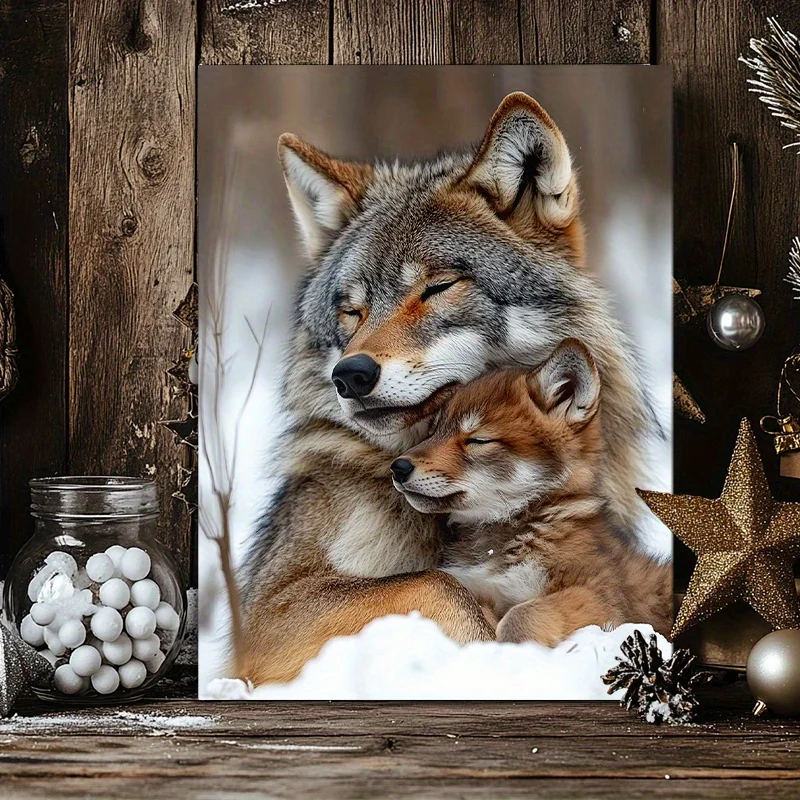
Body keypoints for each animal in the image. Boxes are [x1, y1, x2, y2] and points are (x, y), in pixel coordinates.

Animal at [390, 338, 672, 647]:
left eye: (478, 440)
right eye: (434, 432)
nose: (398, 467)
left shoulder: (600, 596)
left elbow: (521, 615)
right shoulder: (472, 588)